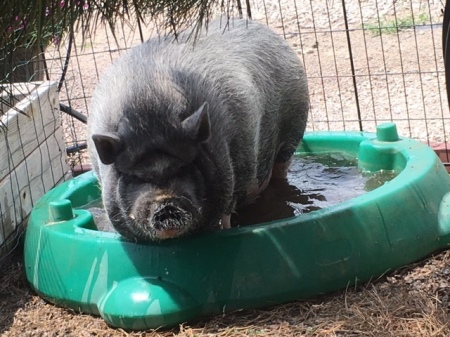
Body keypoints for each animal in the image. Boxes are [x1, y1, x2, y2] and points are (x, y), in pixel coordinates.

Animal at [87, 18, 310, 240]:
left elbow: (226, 215)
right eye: (136, 177)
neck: (148, 105)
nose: (166, 205)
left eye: (183, 167)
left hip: (293, 131)